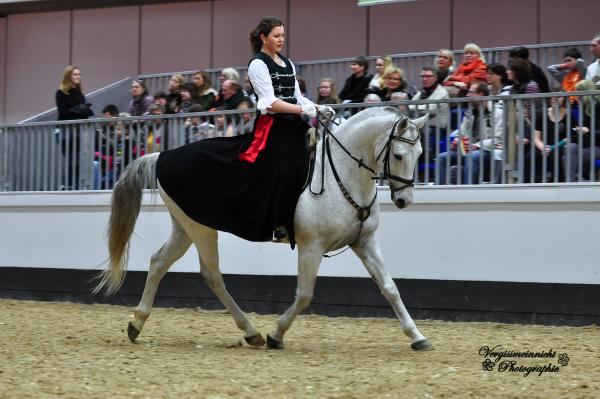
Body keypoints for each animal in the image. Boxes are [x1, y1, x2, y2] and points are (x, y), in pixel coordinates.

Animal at [94, 107, 432, 354]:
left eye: (420, 154)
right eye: (398, 155)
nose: (404, 200)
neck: (343, 175)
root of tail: (162, 155)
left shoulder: (365, 242)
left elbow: (390, 288)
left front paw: (417, 336)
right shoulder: (311, 247)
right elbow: (305, 295)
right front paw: (276, 335)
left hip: (185, 227)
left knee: (159, 262)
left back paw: (137, 324)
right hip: (201, 230)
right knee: (211, 275)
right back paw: (252, 332)